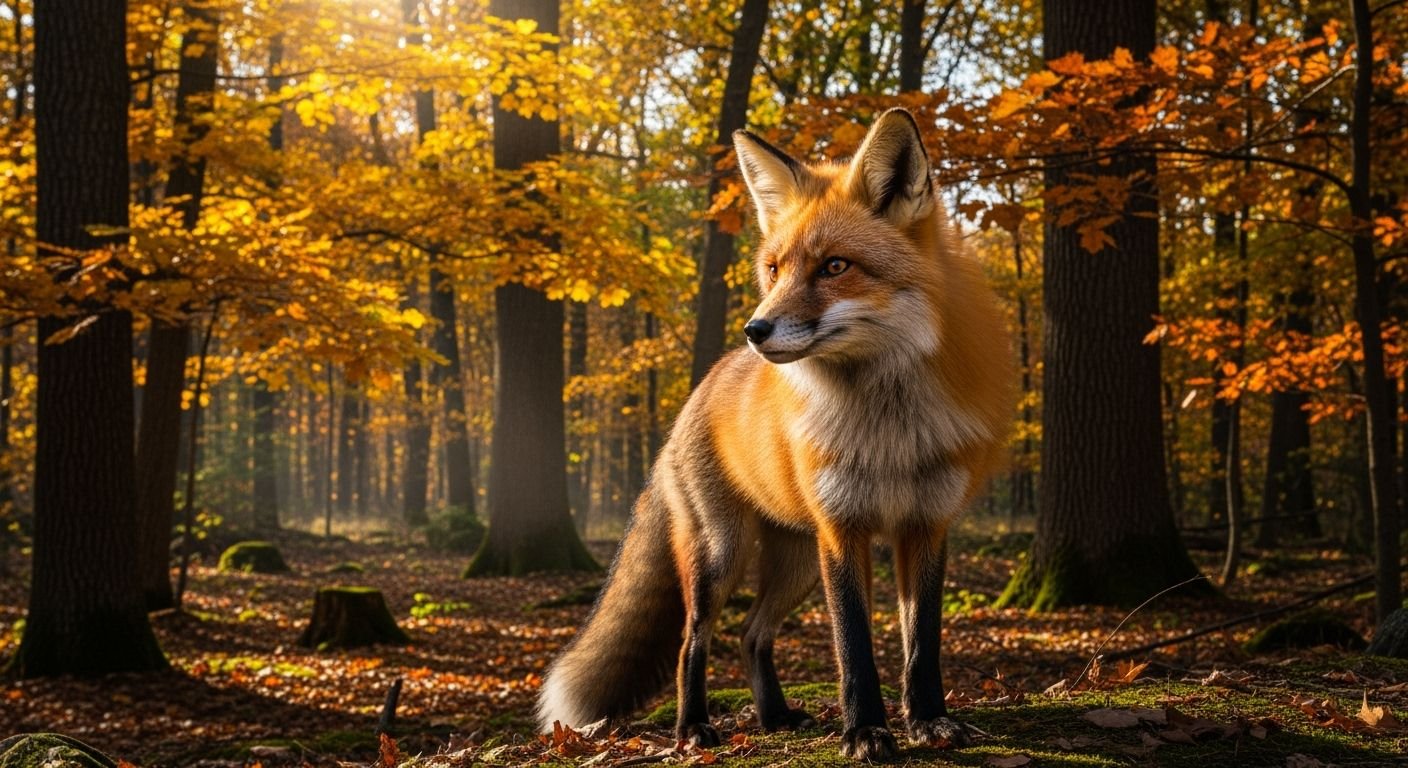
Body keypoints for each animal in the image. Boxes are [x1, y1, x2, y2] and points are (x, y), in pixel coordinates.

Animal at [536, 108, 1014, 760]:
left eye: (835, 266)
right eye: (774, 269)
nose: (754, 330)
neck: (888, 431)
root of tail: (697, 393)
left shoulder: (926, 526)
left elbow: (922, 643)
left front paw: (928, 720)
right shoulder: (842, 531)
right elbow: (853, 647)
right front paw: (865, 731)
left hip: (796, 566)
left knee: (750, 634)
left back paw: (774, 717)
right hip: (722, 555)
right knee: (693, 641)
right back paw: (693, 729)